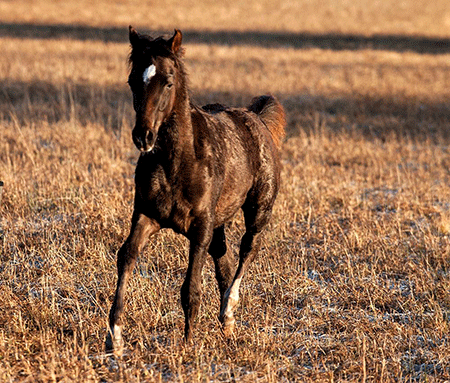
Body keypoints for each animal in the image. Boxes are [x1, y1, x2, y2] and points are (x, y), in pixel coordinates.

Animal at [106, 27, 284, 356]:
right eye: (132, 80)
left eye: (168, 81)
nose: (143, 136)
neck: (177, 163)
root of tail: (254, 117)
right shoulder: (146, 217)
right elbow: (126, 257)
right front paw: (116, 338)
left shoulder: (200, 227)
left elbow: (190, 287)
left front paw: (188, 345)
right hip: (219, 224)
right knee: (224, 262)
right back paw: (227, 324)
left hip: (258, 211)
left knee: (247, 251)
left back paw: (229, 309)